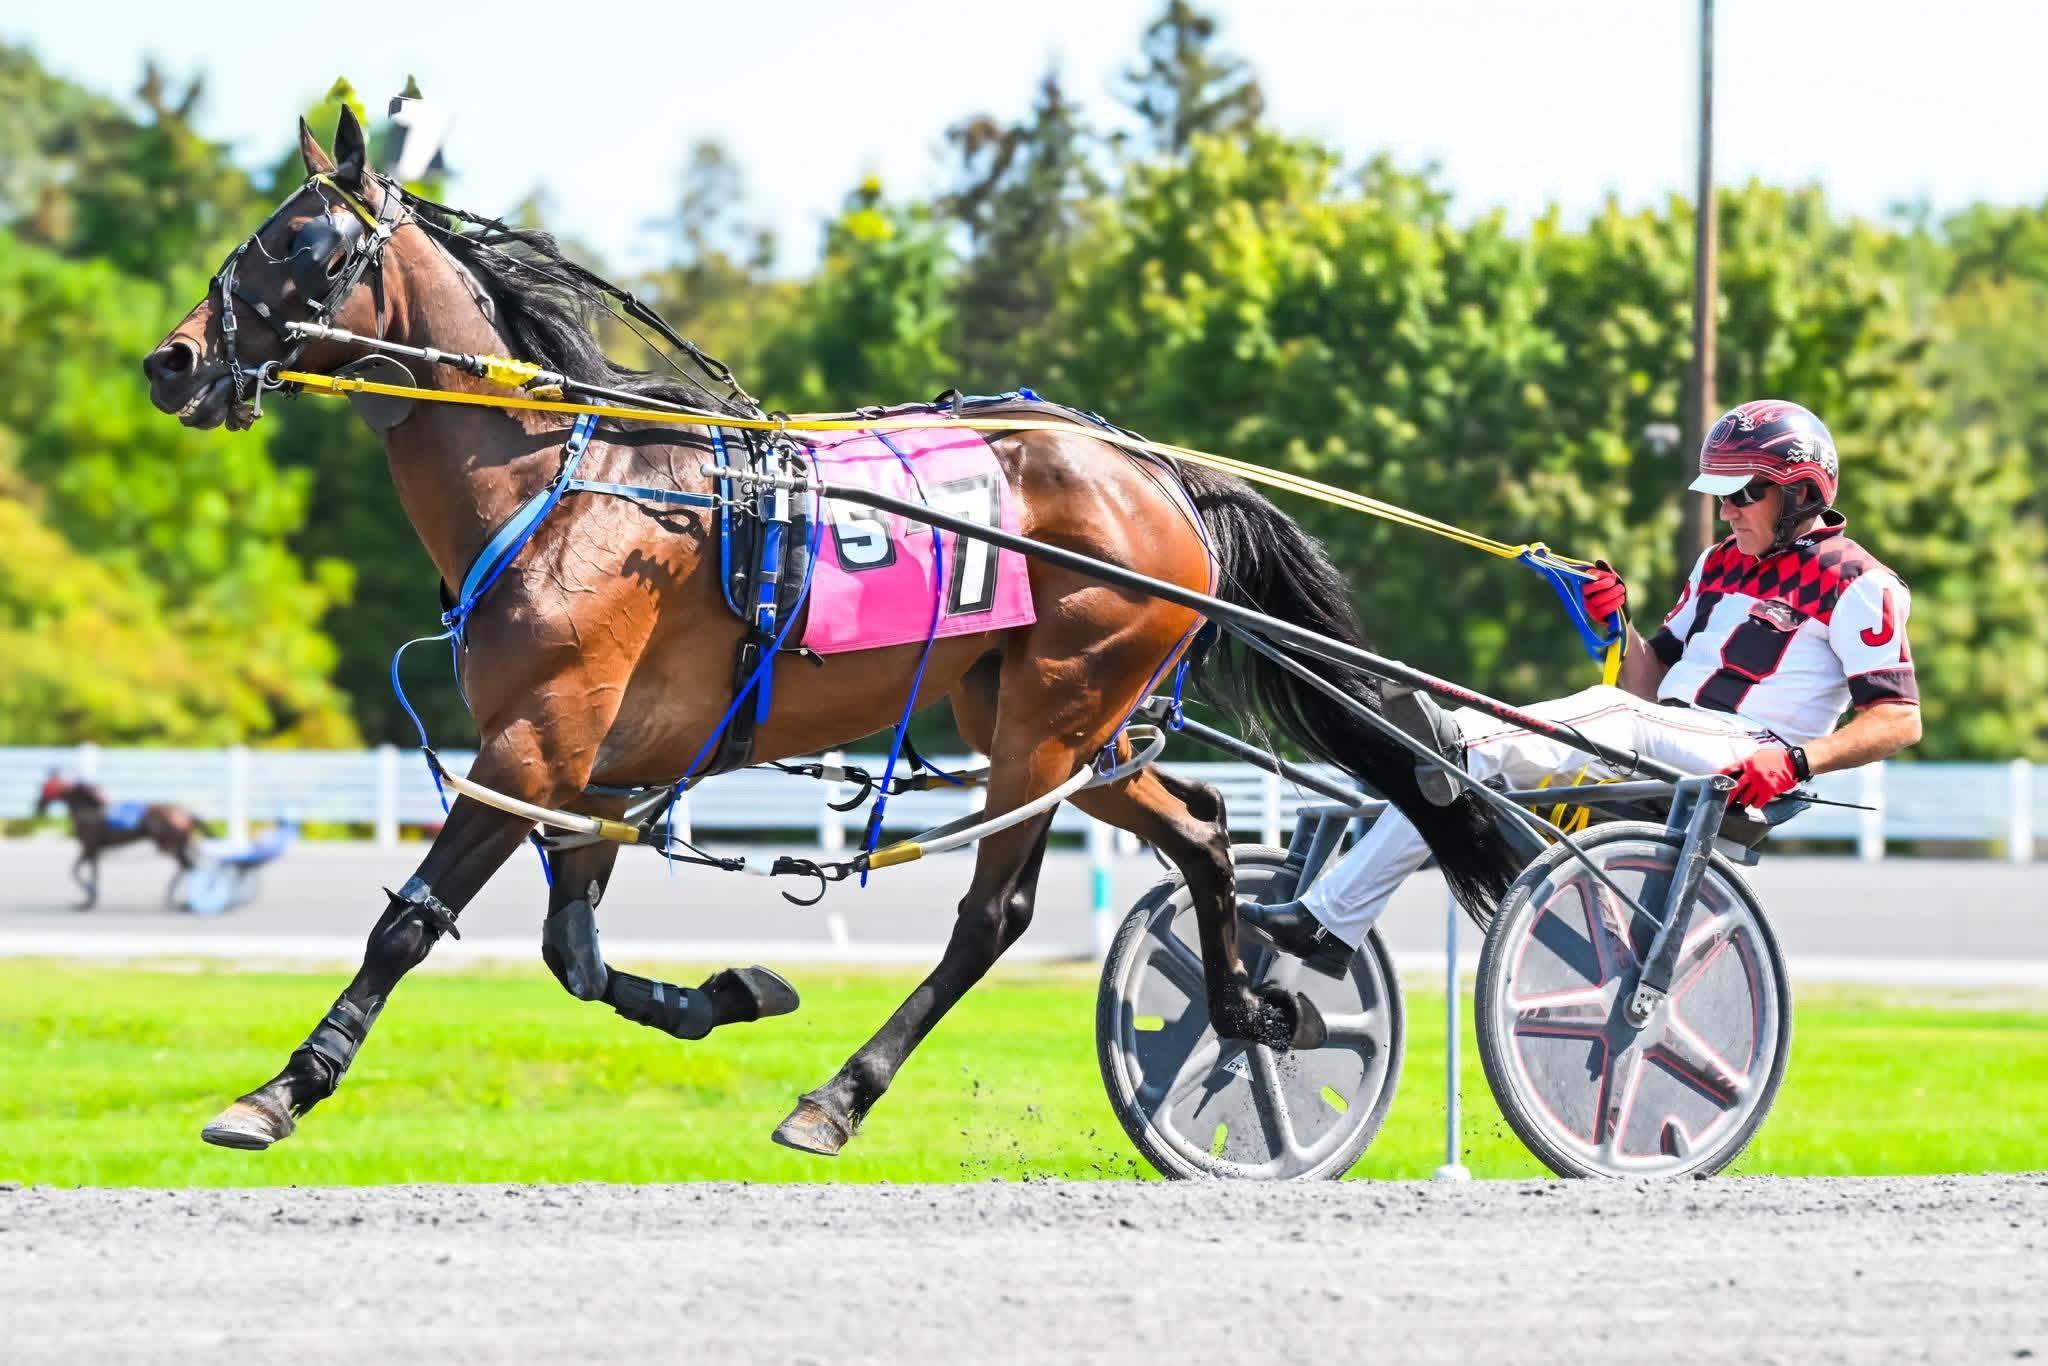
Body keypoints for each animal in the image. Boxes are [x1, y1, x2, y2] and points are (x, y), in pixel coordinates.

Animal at [33, 772, 206, 910]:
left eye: (46, 787)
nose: (38, 805)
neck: (89, 811)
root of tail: (185, 812)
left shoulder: (88, 847)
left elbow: (75, 872)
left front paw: (87, 899)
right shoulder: (94, 850)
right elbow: (92, 874)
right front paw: (90, 900)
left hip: (167, 845)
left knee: (187, 866)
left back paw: (180, 900)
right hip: (177, 844)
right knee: (187, 866)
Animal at [141, 106, 1521, 1156]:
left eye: (301, 237)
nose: (173, 360)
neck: (564, 485)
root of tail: (1158, 473)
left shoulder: (534, 746)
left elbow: (411, 920)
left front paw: (276, 1091)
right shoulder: (596, 772)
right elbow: (572, 955)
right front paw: (731, 990)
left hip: (1055, 712)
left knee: (994, 918)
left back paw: (837, 1097)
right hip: (1048, 718)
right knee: (1198, 827)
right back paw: (1244, 1010)